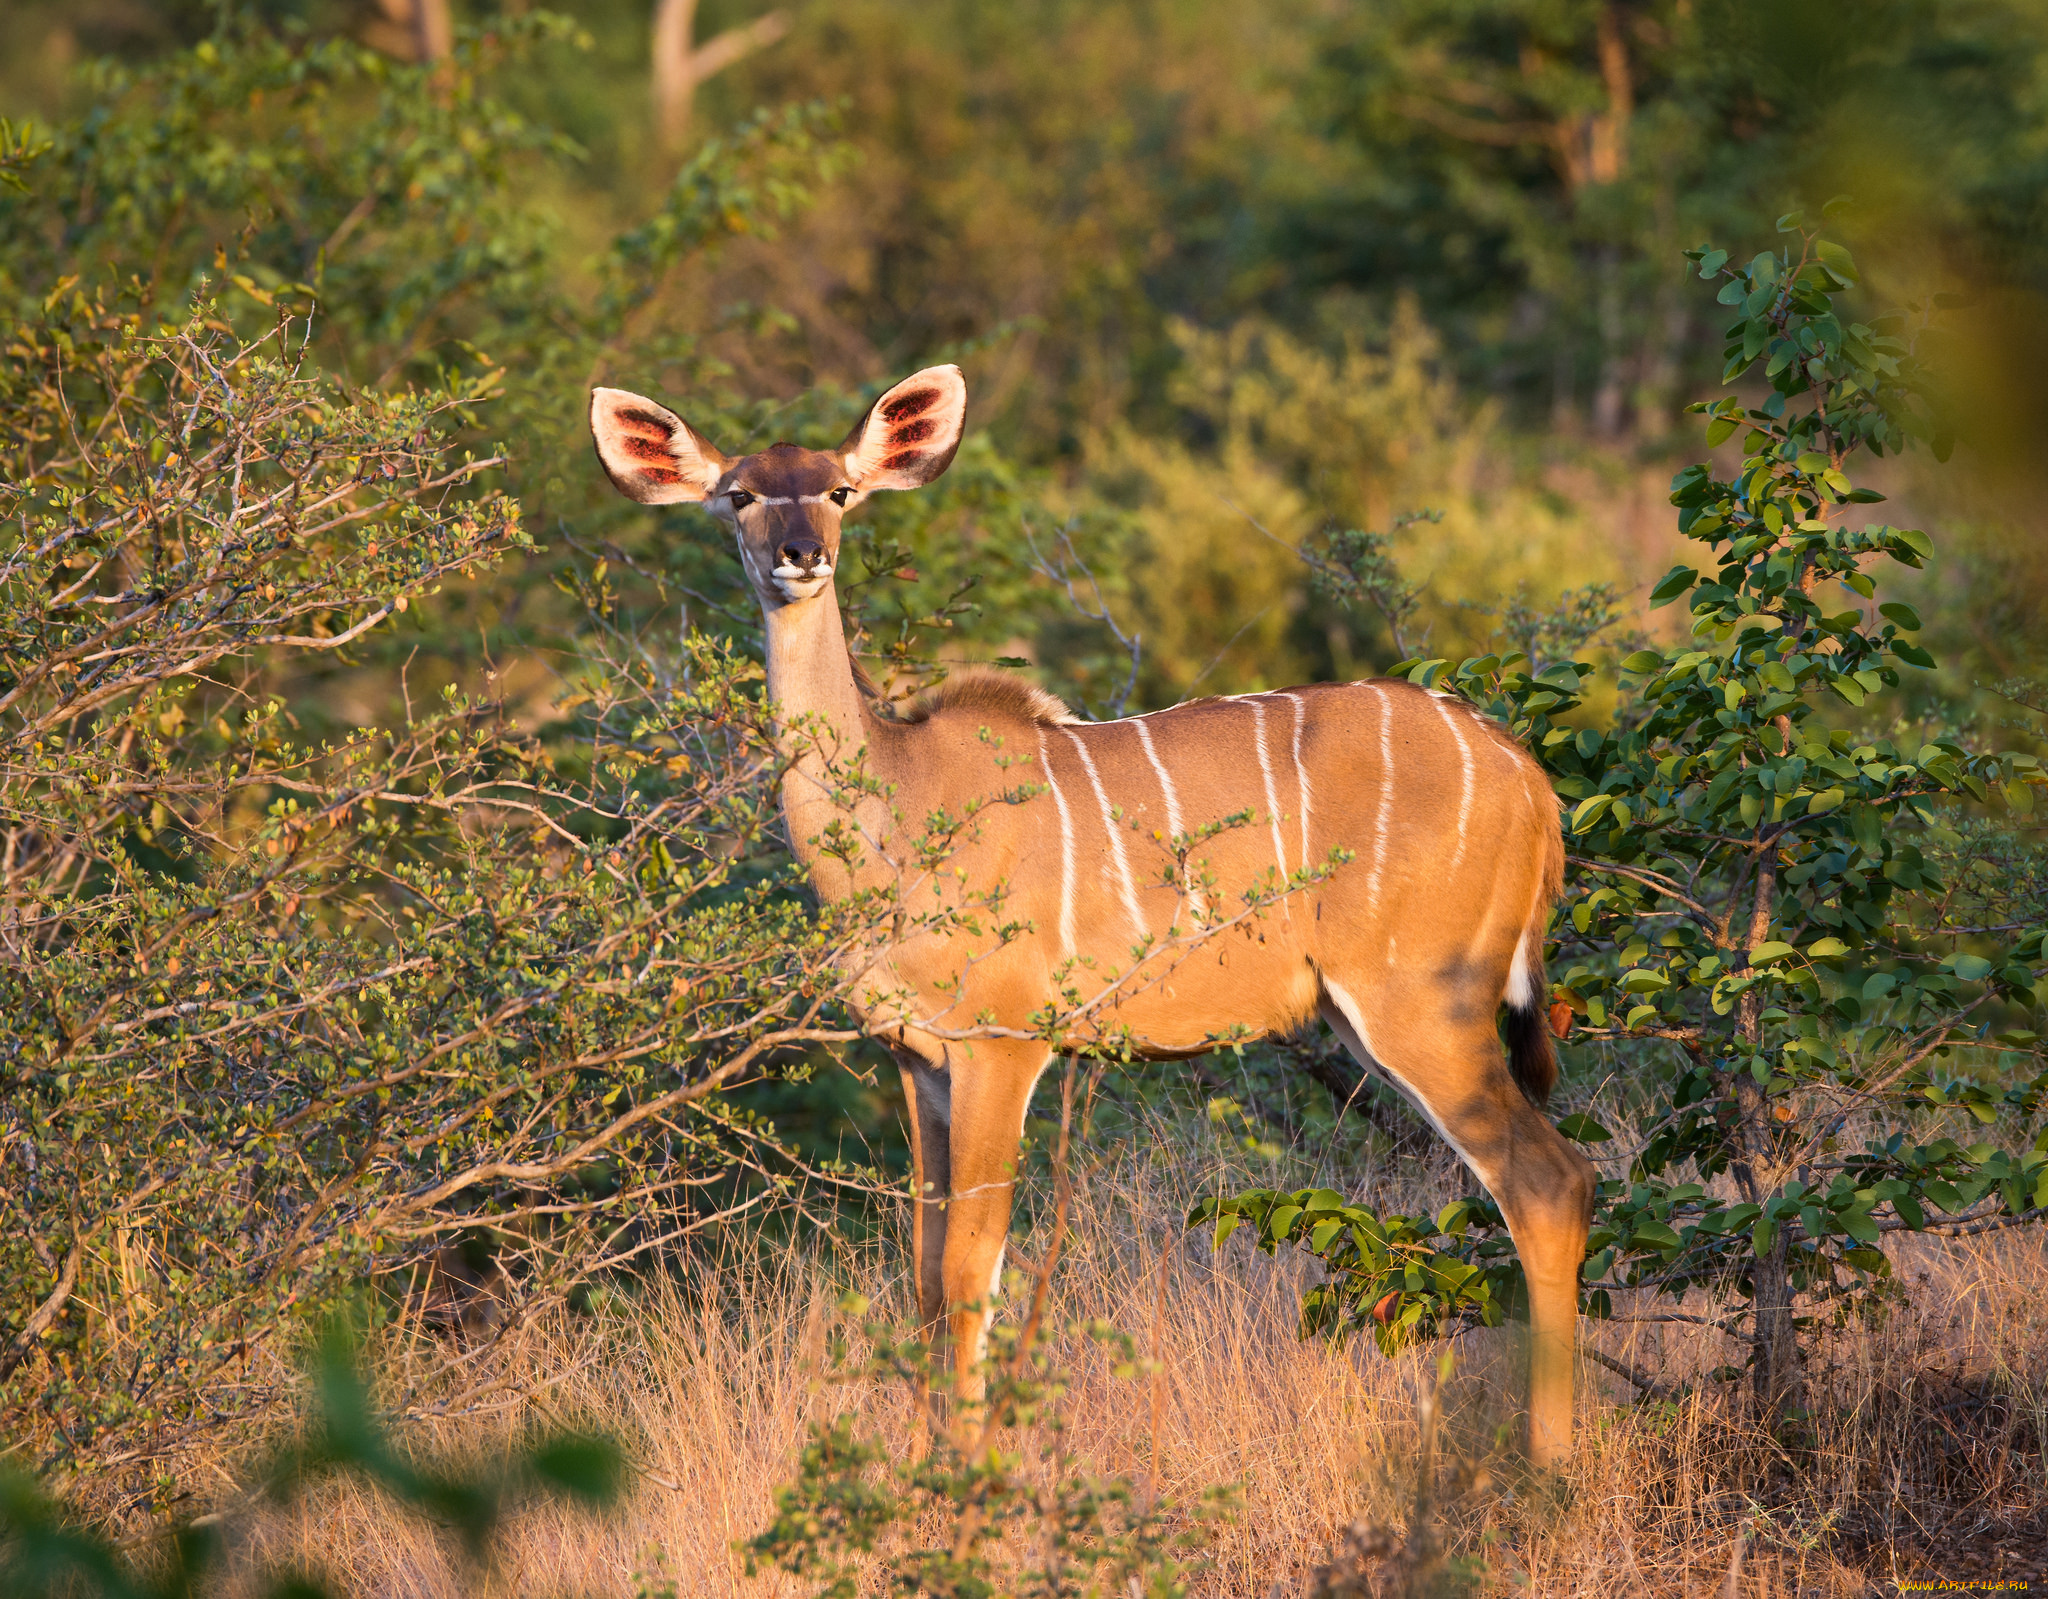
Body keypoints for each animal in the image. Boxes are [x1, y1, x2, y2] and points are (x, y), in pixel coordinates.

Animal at [593, 362, 1597, 1457]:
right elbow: (922, 1277)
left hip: (1421, 1003)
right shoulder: (916, 1059)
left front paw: (964, 1480)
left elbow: (970, 1272)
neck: (895, 804)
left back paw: (1549, 1467)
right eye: (738, 493)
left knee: (1548, 1182)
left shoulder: (1003, 1043)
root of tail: (1528, 778)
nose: (799, 554)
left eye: (839, 491)